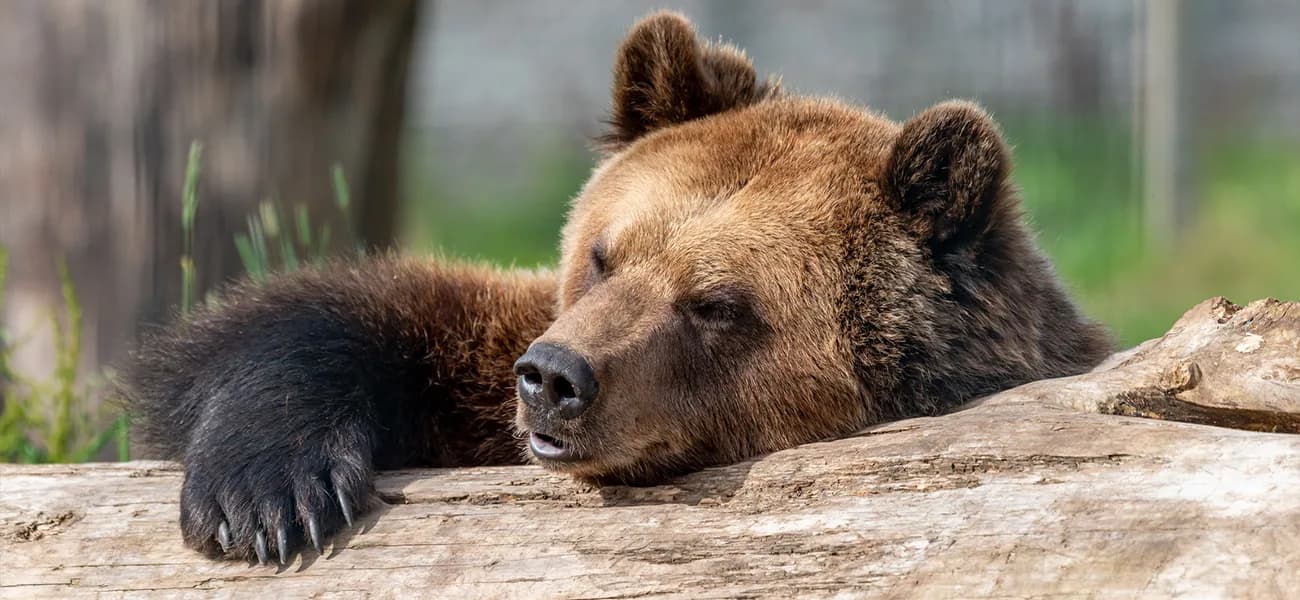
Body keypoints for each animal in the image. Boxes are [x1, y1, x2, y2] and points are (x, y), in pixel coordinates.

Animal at [121, 11, 1113, 565]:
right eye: (604, 254)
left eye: (716, 304)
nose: (554, 378)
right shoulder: (487, 354)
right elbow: (341, 316)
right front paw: (266, 499)